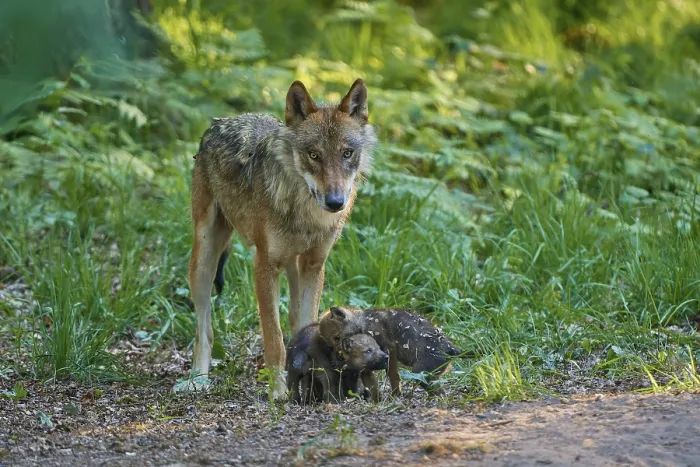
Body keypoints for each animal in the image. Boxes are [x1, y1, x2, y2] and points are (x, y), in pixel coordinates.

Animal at [181, 79, 377, 397]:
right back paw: (198, 378)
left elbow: (307, 327)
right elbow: (273, 339)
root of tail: (220, 122)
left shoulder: (314, 266)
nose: (335, 202)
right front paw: (278, 392)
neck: (304, 213)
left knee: (295, 320)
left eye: (347, 153)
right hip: (203, 261)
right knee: (204, 329)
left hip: (293, 268)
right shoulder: (264, 265)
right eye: (313, 154)